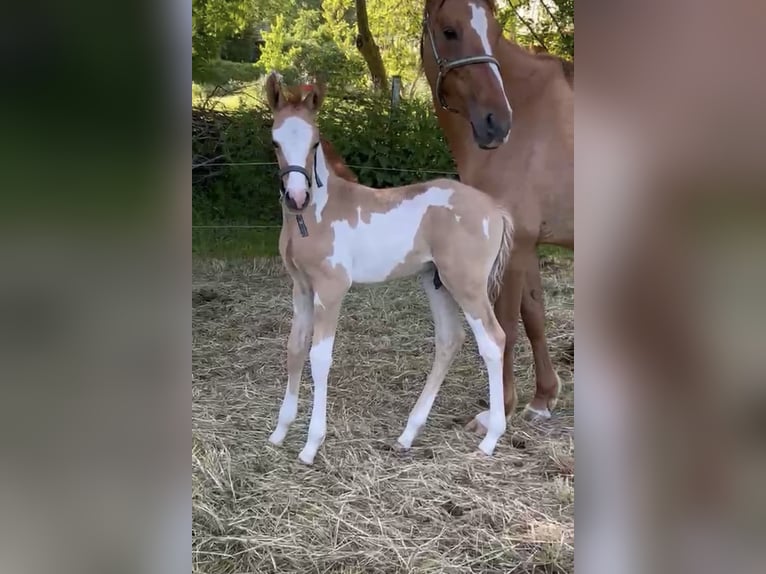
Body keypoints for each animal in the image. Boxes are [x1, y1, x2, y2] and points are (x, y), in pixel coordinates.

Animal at [263, 72, 514, 464]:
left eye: (315, 142)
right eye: (275, 142)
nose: (297, 197)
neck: (314, 215)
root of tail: (496, 209)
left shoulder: (331, 289)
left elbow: (319, 358)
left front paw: (310, 445)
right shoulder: (301, 287)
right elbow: (295, 348)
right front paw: (279, 432)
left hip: (468, 284)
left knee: (492, 340)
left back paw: (490, 439)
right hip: (435, 280)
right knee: (449, 339)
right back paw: (408, 434)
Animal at [420, 0, 573, 432]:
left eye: (494, 32)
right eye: (450, 31)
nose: (497, 123)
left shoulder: (515, 244)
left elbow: (505, 326)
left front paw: (499, 409)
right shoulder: (525, 243)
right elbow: (533, 315)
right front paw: (543, 398)